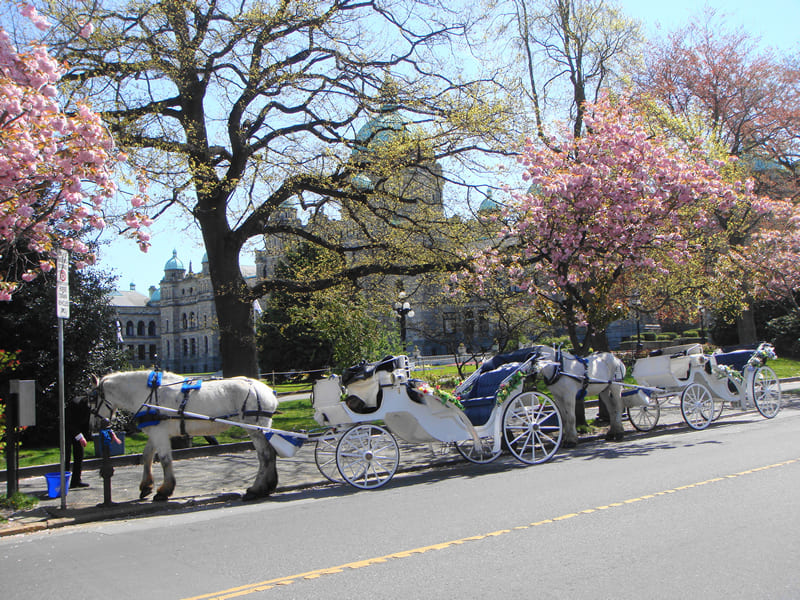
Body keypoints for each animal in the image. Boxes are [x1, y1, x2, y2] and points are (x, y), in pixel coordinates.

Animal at [93, 370, 280, 502]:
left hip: (255, 429)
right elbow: (147, 456)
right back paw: (268, 486)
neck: (150, 394)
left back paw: (256, 489)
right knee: (270, 454)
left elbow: (164, 460)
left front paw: (164, 491)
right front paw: (146, 486)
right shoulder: (155, 432)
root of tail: (267, 391)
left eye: (92, 398)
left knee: (265, 455)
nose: (94, 424)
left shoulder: (160, 433)